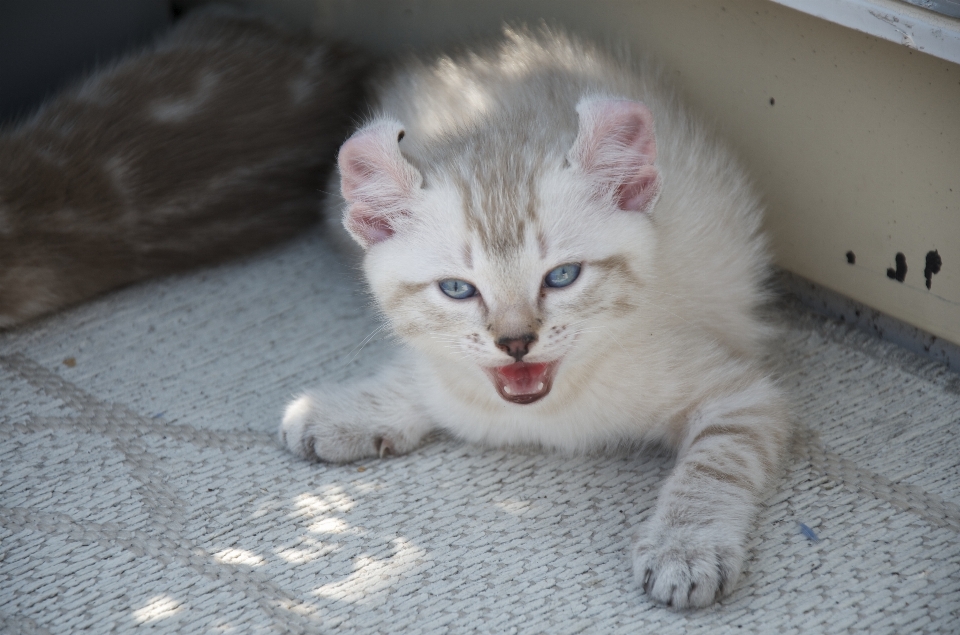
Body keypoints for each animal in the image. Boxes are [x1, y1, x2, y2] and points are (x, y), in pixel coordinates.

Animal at [280, 28, 788, 612]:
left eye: (562, 276)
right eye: (458, 289)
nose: (516, 342)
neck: (548, 413)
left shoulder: (743, 394)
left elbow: (715, 463)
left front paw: (684, 548)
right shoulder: (451, 377)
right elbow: (425, 380)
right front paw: (341, 411)